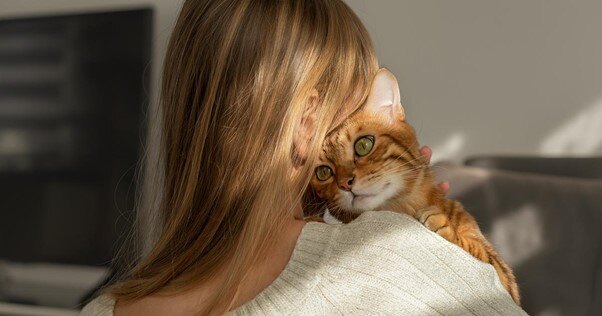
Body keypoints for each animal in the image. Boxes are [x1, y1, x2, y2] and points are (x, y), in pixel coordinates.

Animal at [308, 68, 516, 304]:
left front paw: (443, 225)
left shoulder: (505, 277)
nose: (345, 184)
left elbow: (479, 251)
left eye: (363, 145)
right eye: (323, 172)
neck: (402, 207)